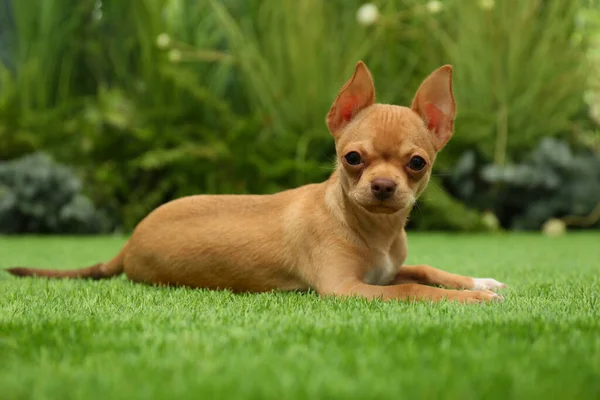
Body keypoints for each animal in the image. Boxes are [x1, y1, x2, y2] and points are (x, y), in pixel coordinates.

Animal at [9, 61, 506, 302]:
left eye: (417, 163)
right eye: (353, 158)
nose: (384, 187)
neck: (373, 231)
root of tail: (128, 243)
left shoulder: (383, 272)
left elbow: (421, 270)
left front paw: (477, 282)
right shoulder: (346, 290)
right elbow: (411, 288)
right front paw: (471, 301)